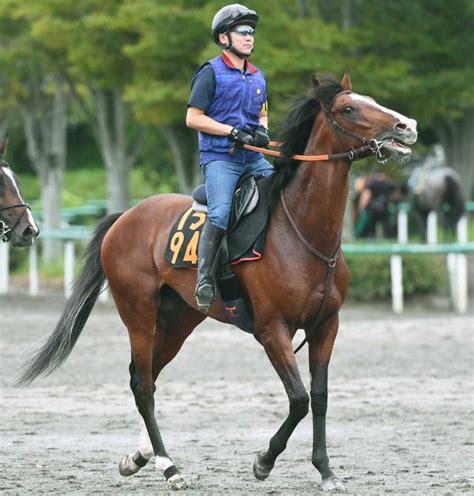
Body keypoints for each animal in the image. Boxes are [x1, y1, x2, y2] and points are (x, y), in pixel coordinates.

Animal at [18, 74, 416, 492]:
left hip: (179, 321)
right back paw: (169, 467)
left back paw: (140, 456)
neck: (301, 232)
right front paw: (264, 461)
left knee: (147, 376)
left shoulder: (326, 325)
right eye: (349, 108)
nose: (406, 126)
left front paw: (325, 470)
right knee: (143, 386)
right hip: (139, 317)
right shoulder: (272, 330)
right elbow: (299, 399)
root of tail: (126, 216)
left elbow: (320, 398)